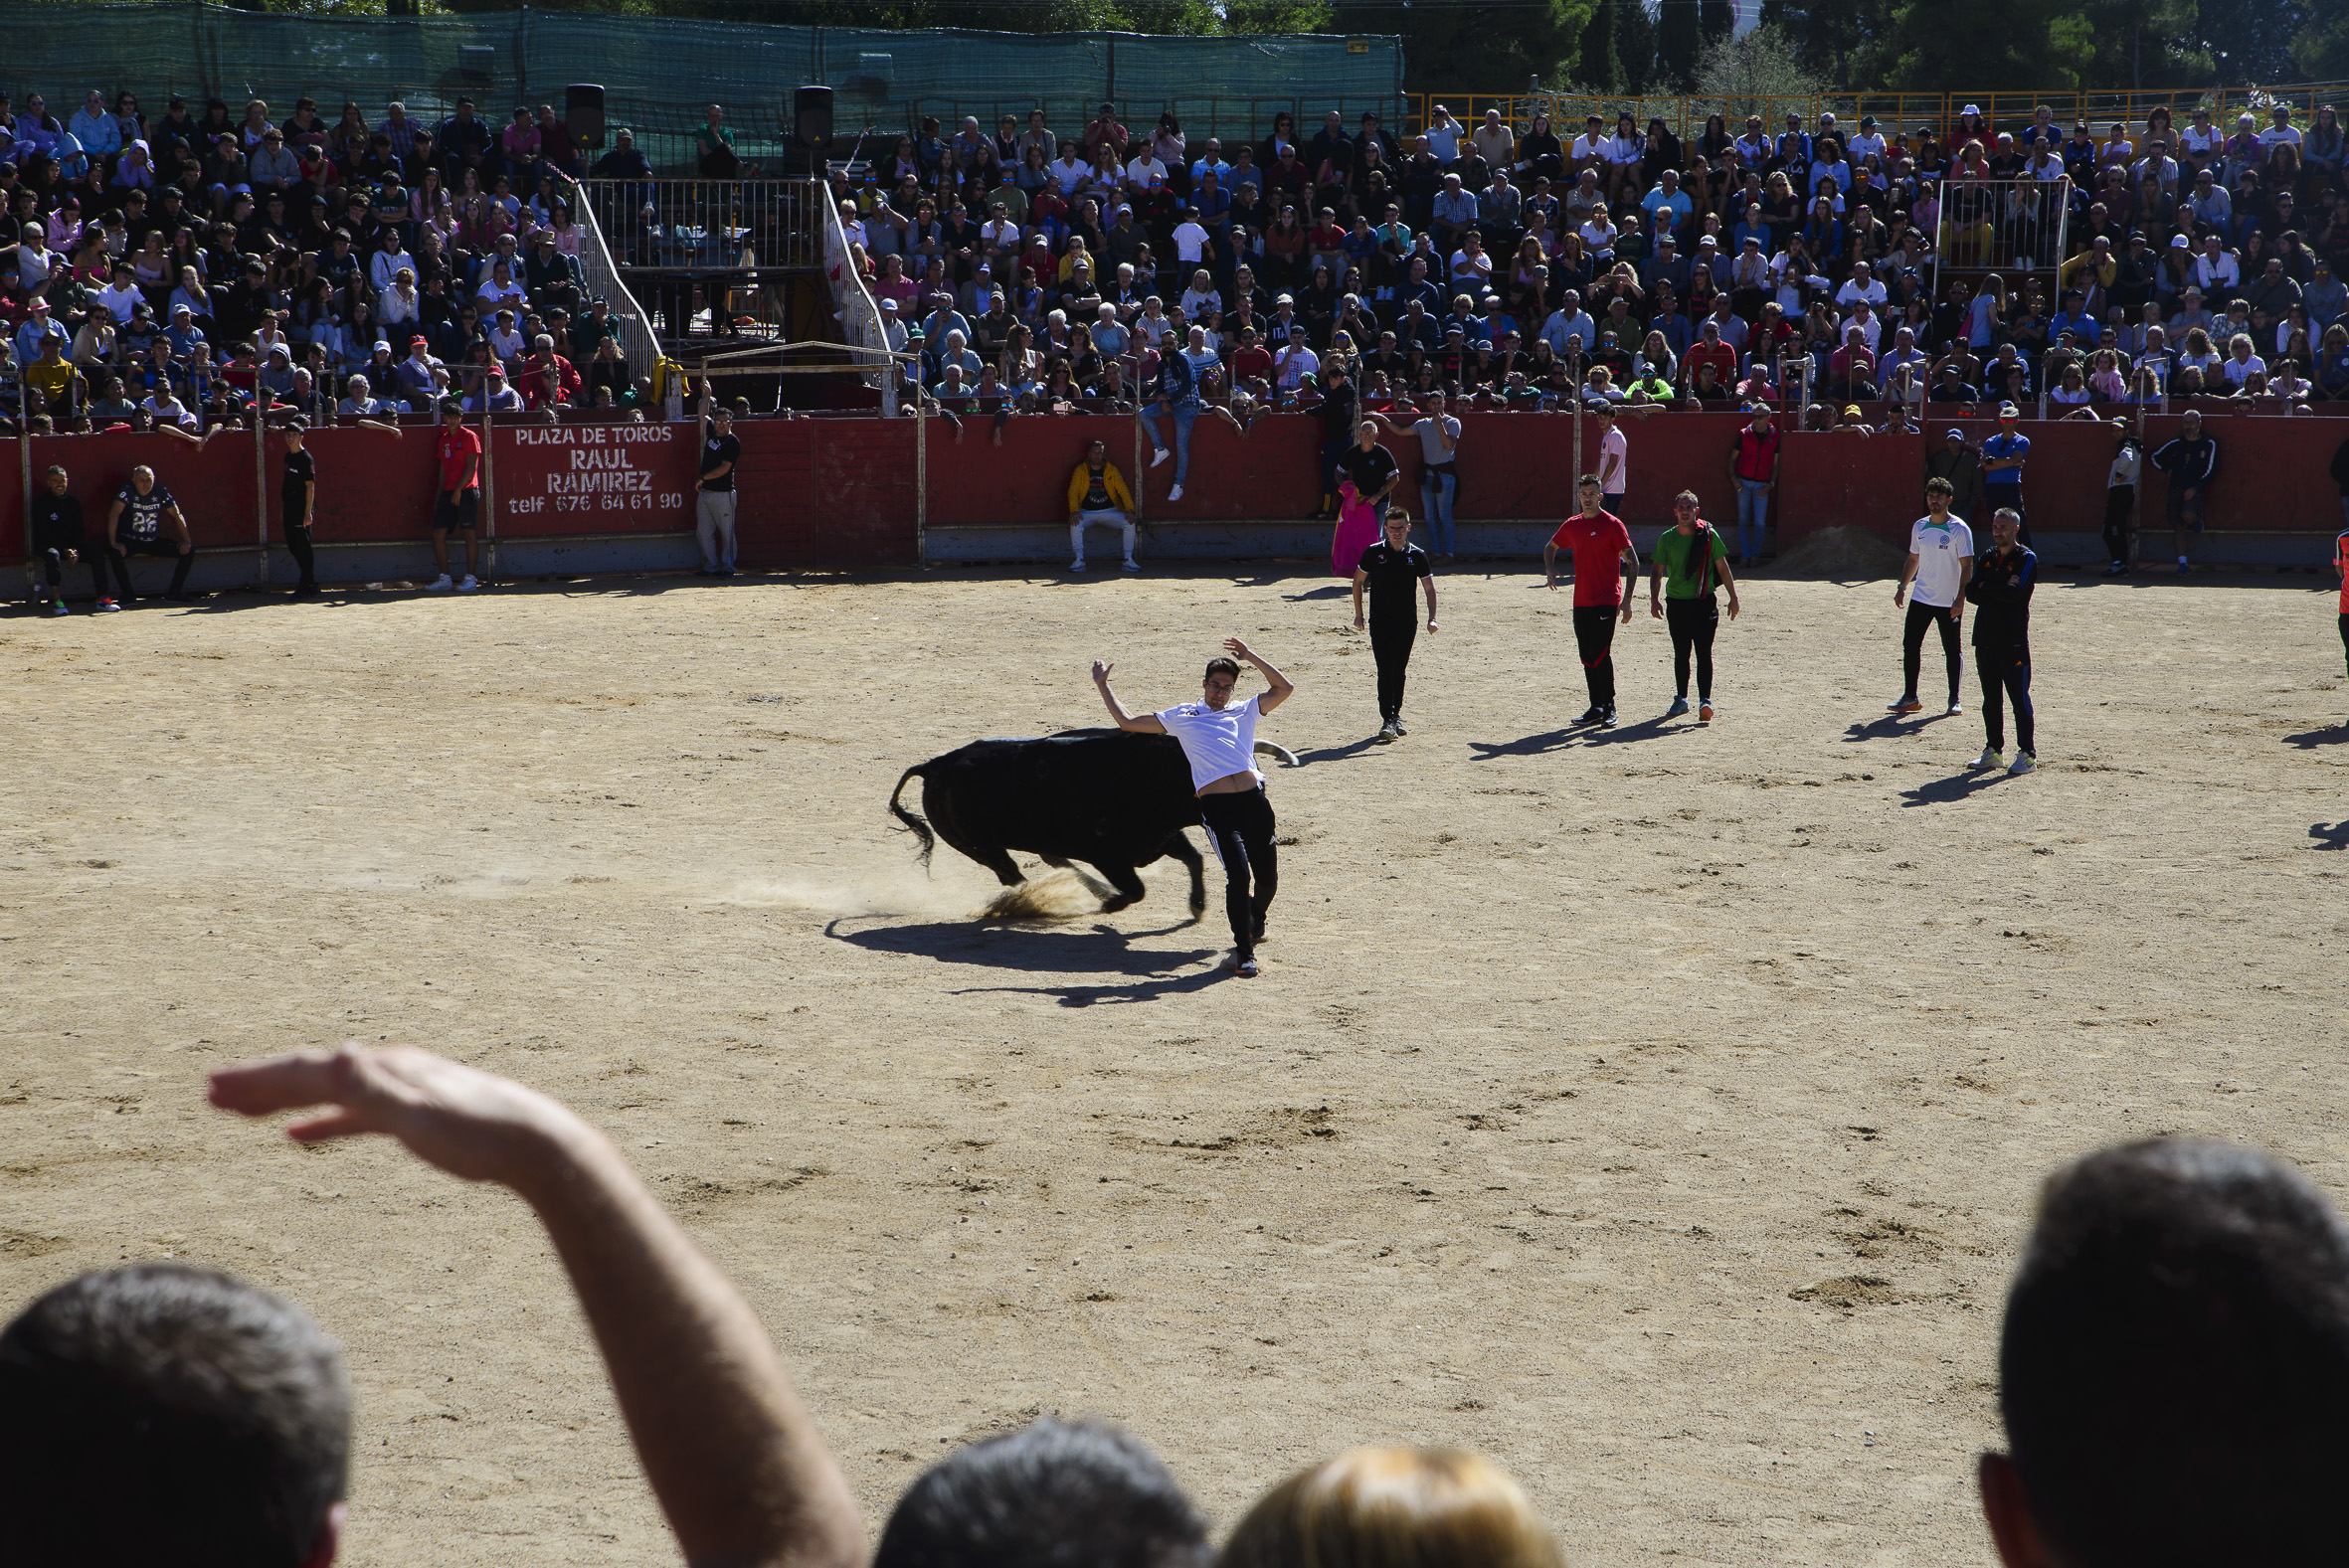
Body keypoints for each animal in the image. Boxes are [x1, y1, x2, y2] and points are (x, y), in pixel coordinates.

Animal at [883, 727, 1306, 910]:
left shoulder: (1161, 839)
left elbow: (1195, 859)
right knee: (1012, 875)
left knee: (1043, 864)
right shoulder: (1111, 857)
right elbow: (1137, 890)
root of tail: (935, 765)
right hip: (978, 846)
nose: (1261, 795)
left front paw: (1198, 906)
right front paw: (1110, 905)